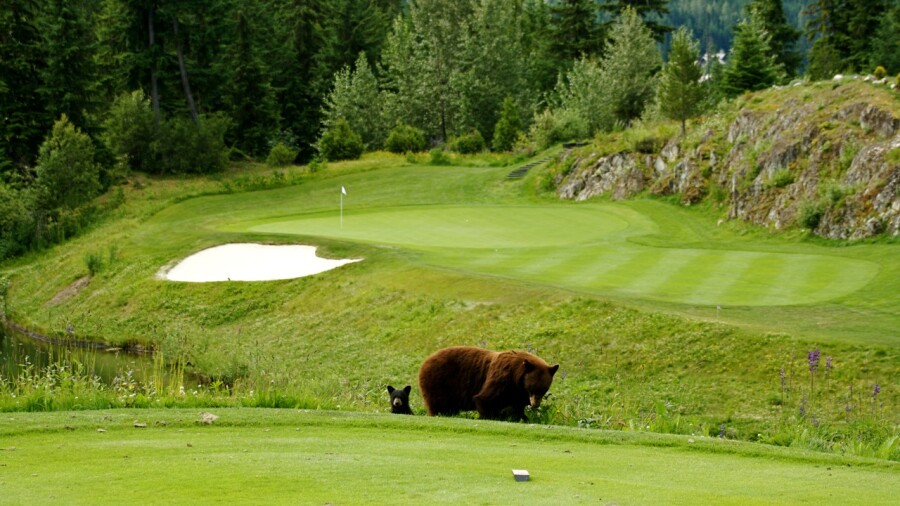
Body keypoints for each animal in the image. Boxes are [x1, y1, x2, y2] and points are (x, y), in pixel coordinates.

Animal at [418, 346, 559, 421]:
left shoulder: (517, 391)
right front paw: (490, 417)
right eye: (532, 387)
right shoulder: (502, 378)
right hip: (439, 383)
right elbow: (485, 398)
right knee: (438, 405)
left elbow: (517, 407)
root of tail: (425, 361)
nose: (535, 404)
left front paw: (523, 418)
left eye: (543, 389)